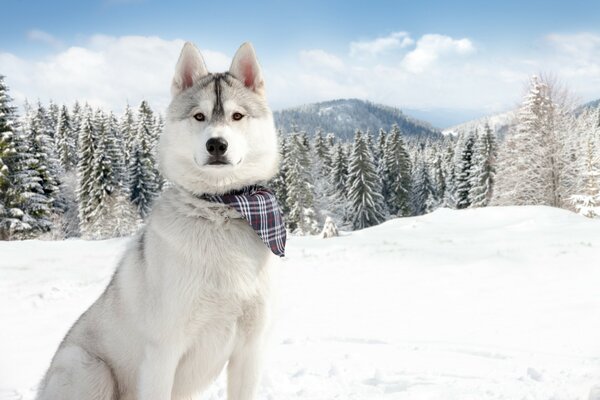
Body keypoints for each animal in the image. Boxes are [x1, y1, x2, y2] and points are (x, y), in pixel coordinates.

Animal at [37, 42, 282, 398]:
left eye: (237, 116)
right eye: (199, 116)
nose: (216, 144)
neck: (219, 210)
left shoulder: (249, 350)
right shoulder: (163, 353)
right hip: (88, 368)